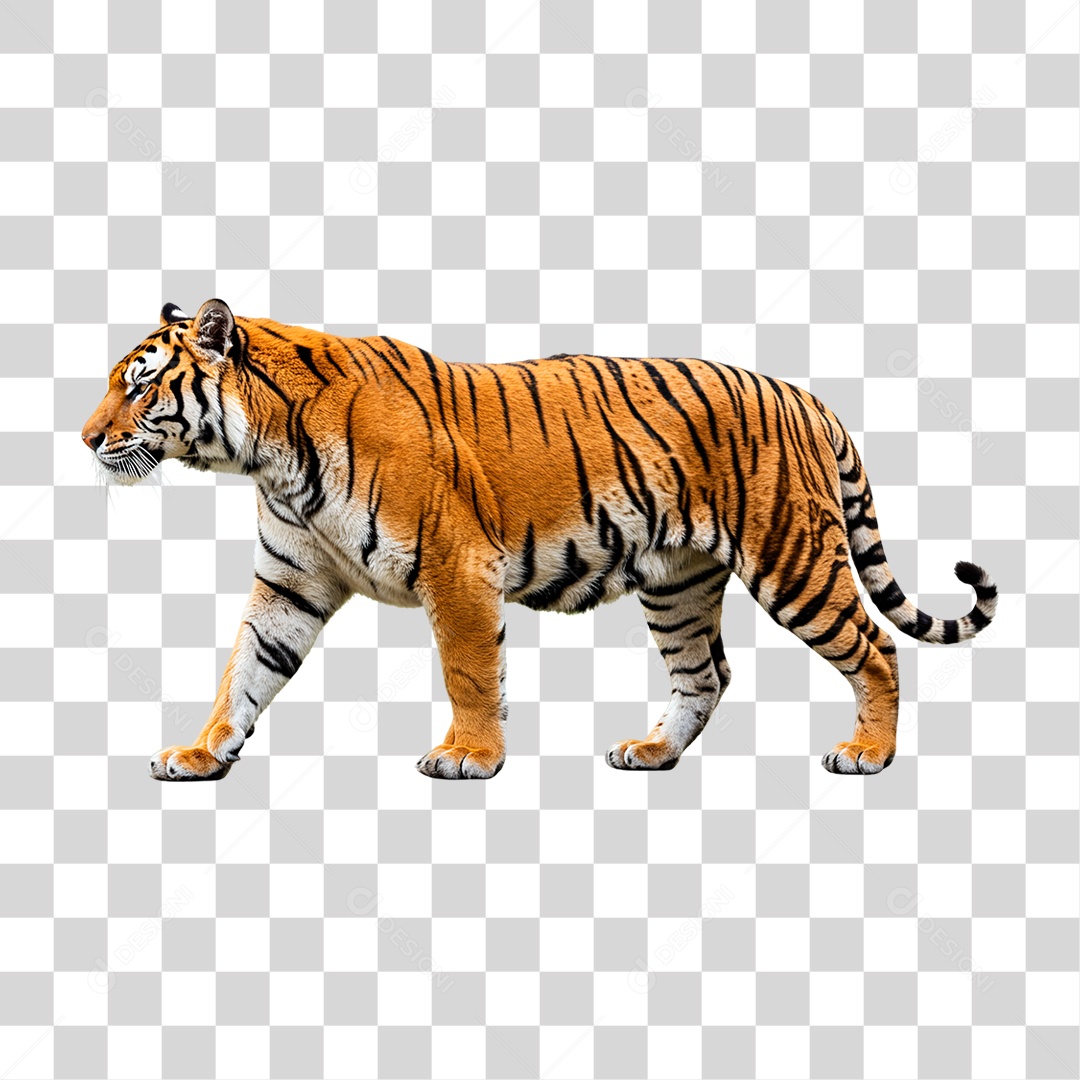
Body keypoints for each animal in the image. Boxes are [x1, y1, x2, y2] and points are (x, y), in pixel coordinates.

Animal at [81, 298, 998, 782]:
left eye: (141, 386)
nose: (87, 438)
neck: (267, 455)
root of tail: (809, 398)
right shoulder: (290, 582)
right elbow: (244, 671)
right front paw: (201, 753)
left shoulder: (454, 568)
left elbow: (468, 671)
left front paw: (469, 758)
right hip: (678, 582)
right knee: (707, 674)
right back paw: (652, 751)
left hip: (791, 559)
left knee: (875, 647)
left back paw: (868, 753)